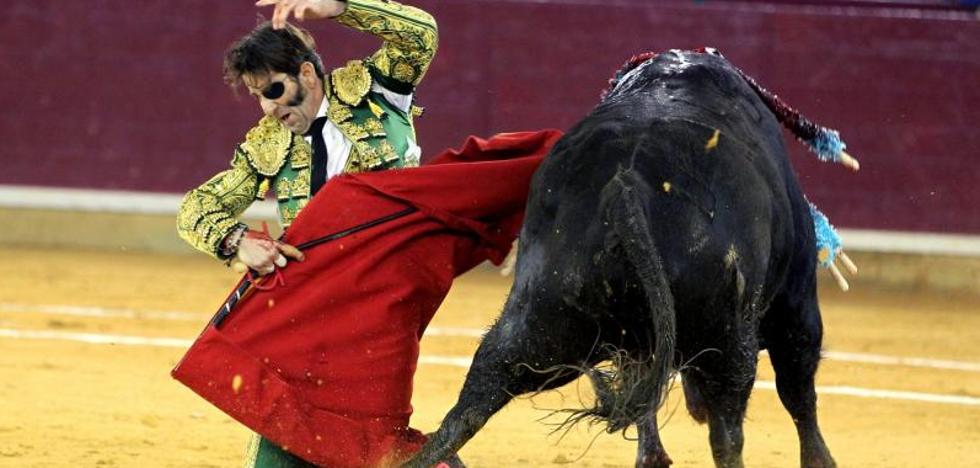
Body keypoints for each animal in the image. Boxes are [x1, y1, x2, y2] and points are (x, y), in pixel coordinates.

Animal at [406, 51, 836, 468]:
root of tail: (626, 182)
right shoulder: (796, 301)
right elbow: (797, 386)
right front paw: (820, 460)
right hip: (729, 335)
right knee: (729, 431)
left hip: (542, 319)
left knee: (472, 402)